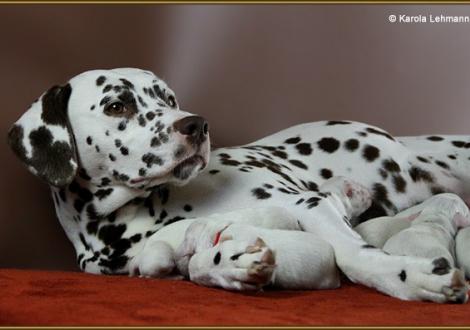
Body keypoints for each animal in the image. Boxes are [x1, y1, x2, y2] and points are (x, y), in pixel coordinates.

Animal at [6, 67, 470, 304]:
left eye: (168, 99)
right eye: (117, 105)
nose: (197, 124)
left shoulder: (309, 203)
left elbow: (354, 253)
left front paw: (405, 277)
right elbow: (189, 266)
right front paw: (230, 266)